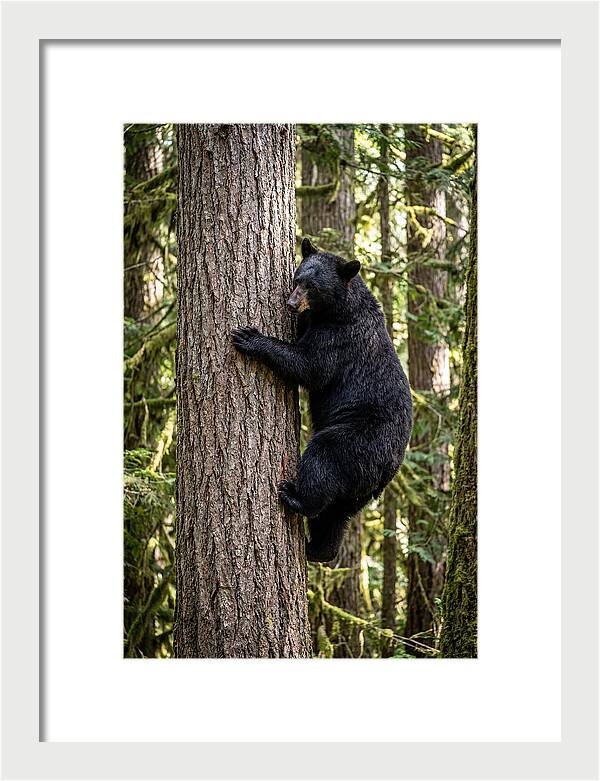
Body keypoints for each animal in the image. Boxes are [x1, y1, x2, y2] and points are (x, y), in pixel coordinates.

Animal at [232, 237, 413, 562]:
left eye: (313, 287)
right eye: (297, 278)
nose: (291, 303)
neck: (339, 310)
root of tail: (389, 469)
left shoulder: (340, 339)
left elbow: (309, 365)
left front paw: (251, 337)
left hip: (357, 440)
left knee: (323, 460)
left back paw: (294, 497)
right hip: (360, 488)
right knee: (336, 514)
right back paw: (319, 549)